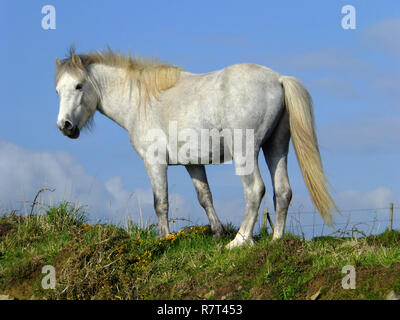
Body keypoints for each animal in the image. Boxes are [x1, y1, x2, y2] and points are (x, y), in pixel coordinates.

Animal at [55, 47, 338, 249]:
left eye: (79, 86)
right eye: (58, 90)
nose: (64, 126)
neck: (142, 101)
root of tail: (278, 79)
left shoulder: (155, 162)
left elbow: (161, 202)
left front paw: (164, 240)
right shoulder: (193, 163)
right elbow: (205, 197)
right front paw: (217, 232)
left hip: (246, 152)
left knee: (255, 189)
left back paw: (239, 241)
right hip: (275, 147)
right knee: (282, 191)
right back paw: (276, 239)